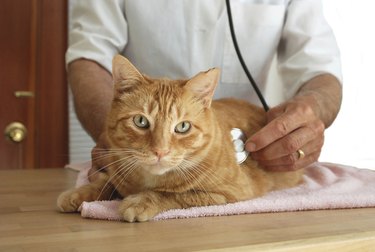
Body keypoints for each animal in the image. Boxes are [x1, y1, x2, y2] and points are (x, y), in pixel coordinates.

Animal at [56, 55, 302, 222]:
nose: (160, 151)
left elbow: (176, 195)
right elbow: (105, 181)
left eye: (182, 127)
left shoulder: (228, 194)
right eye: (141, 121)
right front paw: (80, 192)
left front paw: (141, 201)